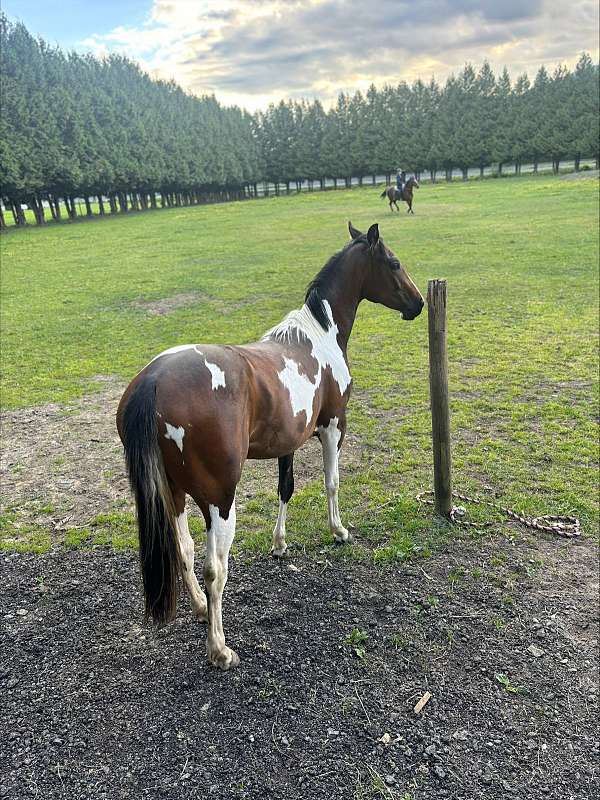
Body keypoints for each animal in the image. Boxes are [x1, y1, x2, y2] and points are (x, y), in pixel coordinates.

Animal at [117, 222, 424, 672]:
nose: (418, 303)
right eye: (394, 262)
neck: (317, 338)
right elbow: (331, 483)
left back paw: (200, 608)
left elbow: (286, 489)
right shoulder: (333, 428)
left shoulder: (289, 441)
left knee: (184, 550)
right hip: (220, 502)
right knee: (214, 568)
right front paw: (338, 530)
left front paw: (279, 545)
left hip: (172, 495)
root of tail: (154, 380)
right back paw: (219, 648)